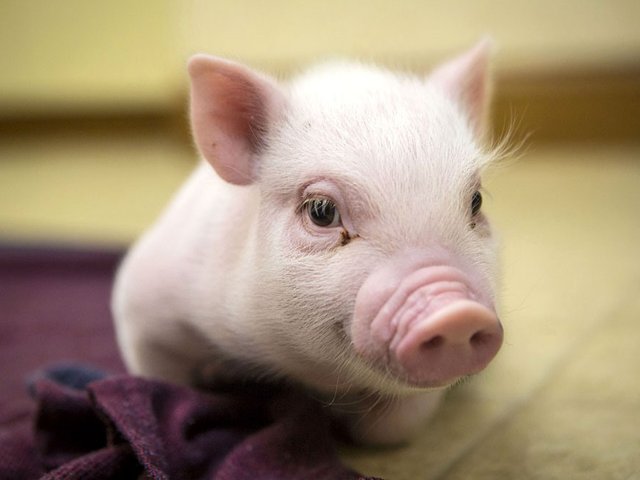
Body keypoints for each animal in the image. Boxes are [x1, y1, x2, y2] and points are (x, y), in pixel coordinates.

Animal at [112, 39, 504, 445]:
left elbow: (394, 427)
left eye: (476, 201)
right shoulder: (142, 301)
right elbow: (163, 379)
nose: (457, 313)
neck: (298, 370)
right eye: (321, 211)